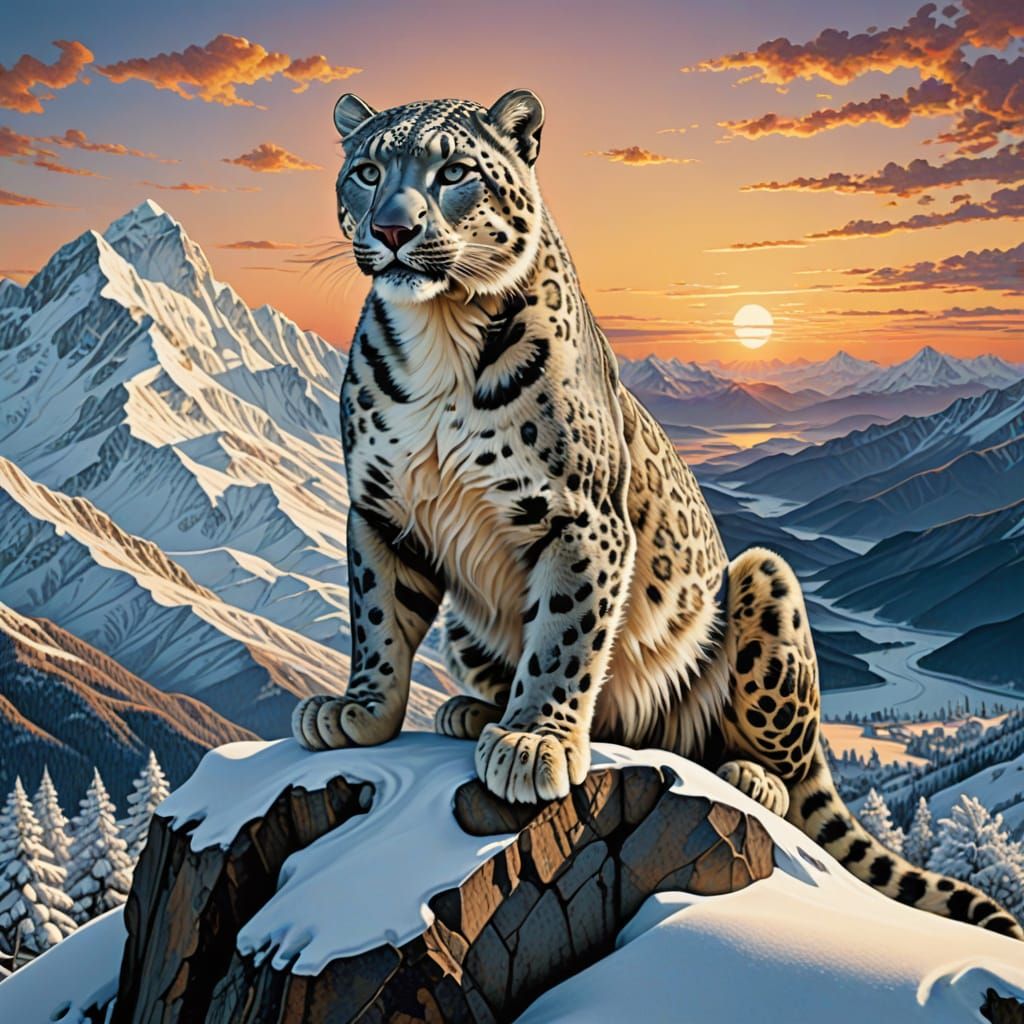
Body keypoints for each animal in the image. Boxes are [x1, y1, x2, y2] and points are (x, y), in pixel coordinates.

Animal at [292, 88, 1022, 940]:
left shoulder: (579, 515)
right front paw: (359, 711)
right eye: (368, 172)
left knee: (781, 767)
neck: (439, 335)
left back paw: (747, 774)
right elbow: (378, 618)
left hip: (766, 587)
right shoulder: (380, 510)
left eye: (455, 173)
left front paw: (535, 742)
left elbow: (564, 634)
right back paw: (471, 711)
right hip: (466, 630)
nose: (392, 230)